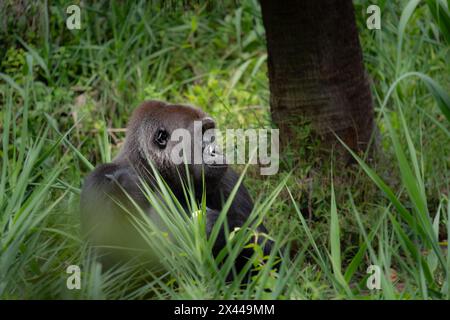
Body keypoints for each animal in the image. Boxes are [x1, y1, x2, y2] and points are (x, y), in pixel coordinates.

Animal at [79, 101, 272, 274]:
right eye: (201, 133)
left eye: (210, 132)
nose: (215, 150)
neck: (151, 169)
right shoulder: (100, 182)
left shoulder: (228, 178)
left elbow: (268, 252)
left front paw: (218, 226)